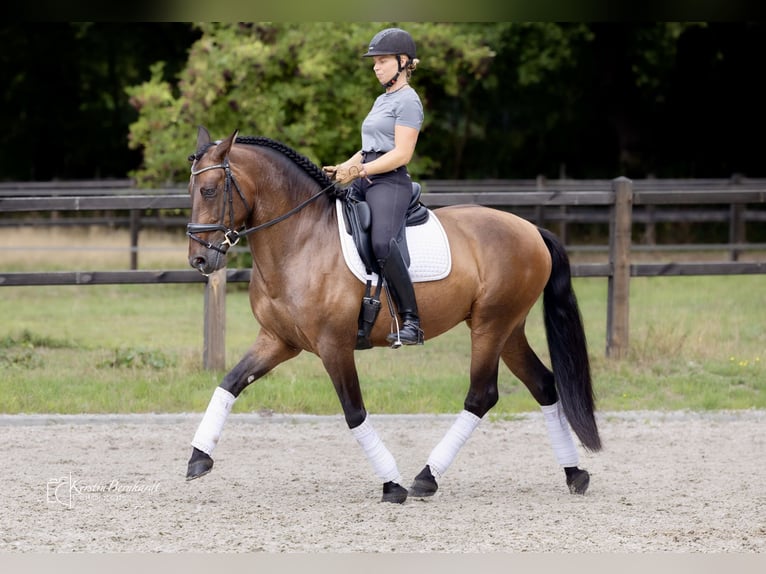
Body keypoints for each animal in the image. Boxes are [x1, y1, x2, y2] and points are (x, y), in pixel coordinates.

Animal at [184, 126, 601, 503]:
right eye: (190, 191)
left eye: (210, 190)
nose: (200, 260)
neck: (302, 239)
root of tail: (531, 229)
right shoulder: (278, 341)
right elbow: (229, 383)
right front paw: (198, 457)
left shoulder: (334, 346)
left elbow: (354, 411)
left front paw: (392, 485)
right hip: (508, 329)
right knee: (543, 385)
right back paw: (574, 473)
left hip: (490, 326)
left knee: (481, 396)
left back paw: (426, 478)